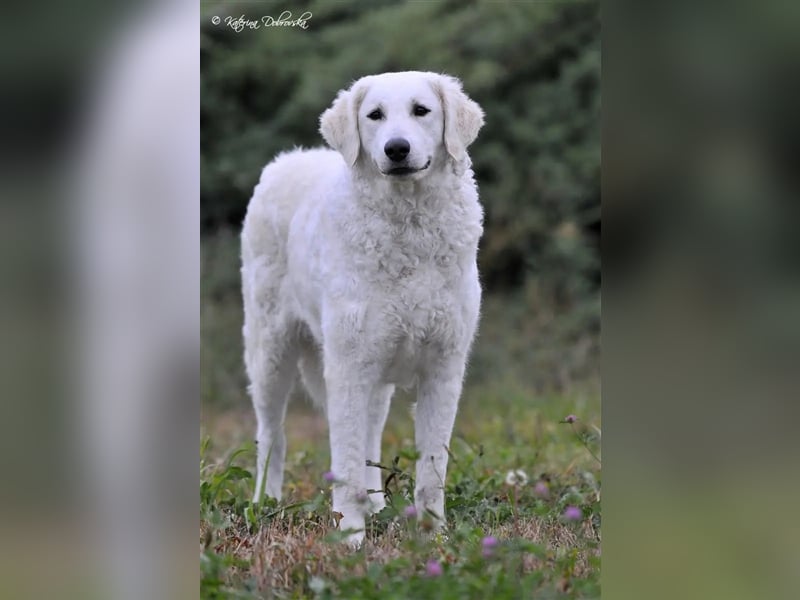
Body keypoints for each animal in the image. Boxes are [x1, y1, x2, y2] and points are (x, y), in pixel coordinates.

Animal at [241, 70, 484, 544]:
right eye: (375, 115)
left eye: (421, 111)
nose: (396, 149)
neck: (409, 227)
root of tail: (285, 160)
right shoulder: (348, 368)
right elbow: (348, 464)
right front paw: (349, 537)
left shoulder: (443, 369)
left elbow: (432, 469)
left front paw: (433, 536)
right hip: (271, 354)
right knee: (271, 435)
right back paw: (265, 502)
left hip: (375, 371)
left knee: (370, 435)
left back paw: (377, 504)